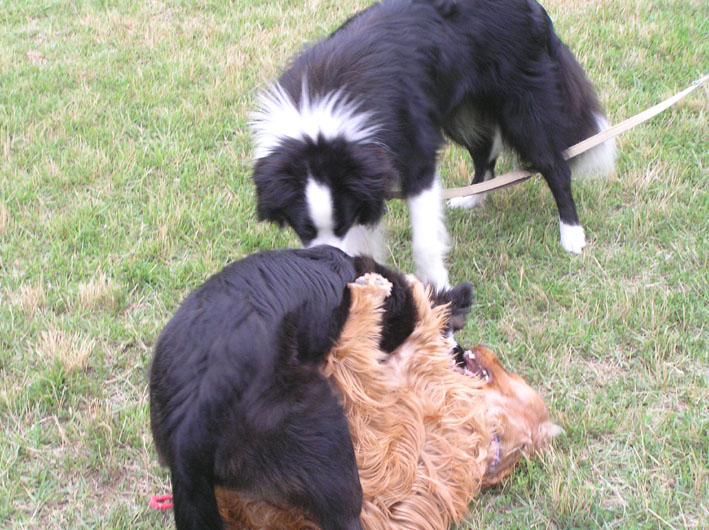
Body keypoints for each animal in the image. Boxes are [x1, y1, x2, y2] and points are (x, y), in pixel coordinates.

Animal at [251, 0, 616, 289]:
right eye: (304, 229)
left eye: (342, 223)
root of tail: (533, 8)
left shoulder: (415, 155)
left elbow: (424, 240)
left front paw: (438, 291)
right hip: (461, 109)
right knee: (485, 151)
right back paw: (471, 198)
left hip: (524, 104)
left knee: (554, 165)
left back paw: (571, 234)